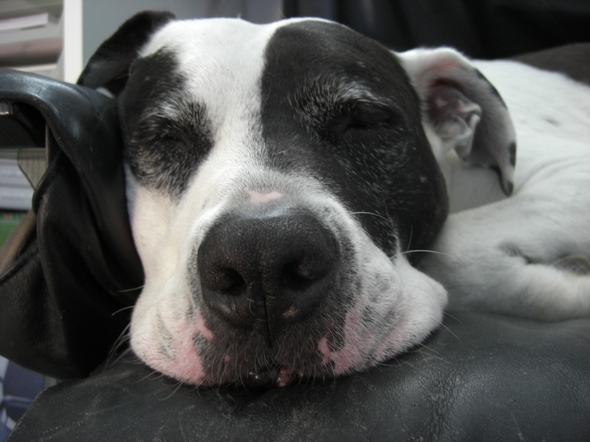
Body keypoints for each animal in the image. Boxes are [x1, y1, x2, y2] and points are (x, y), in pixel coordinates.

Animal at [78, 12, 590, 386]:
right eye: (165, 137)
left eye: (363, 122)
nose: (260, 258)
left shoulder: (573, 173)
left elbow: (455, 250)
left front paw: (572, 287)